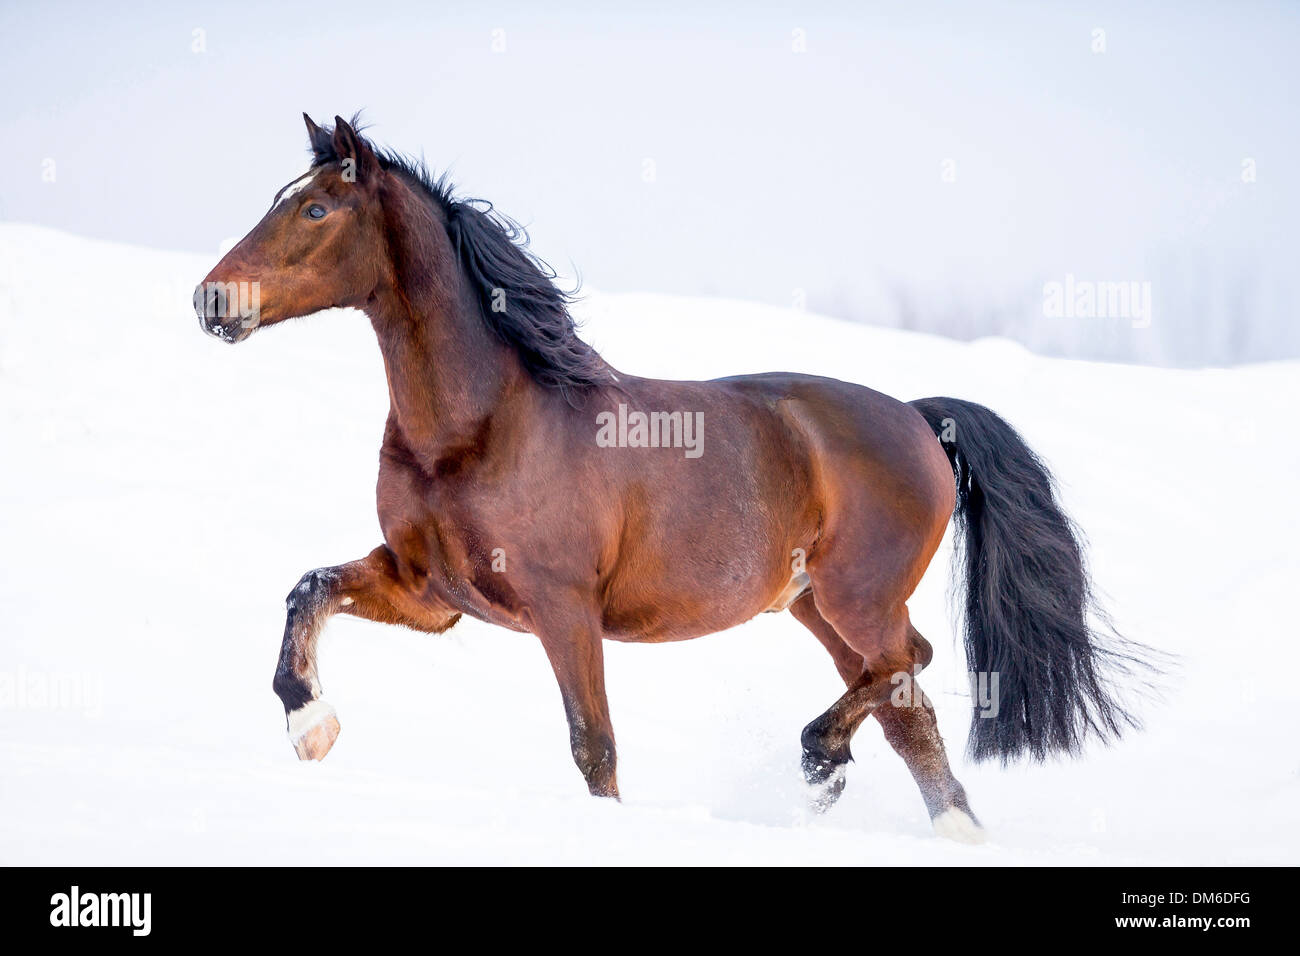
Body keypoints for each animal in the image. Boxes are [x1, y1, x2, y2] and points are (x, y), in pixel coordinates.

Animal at [195, 113, 1149, 842]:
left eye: (315, 207)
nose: (212, 302)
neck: (480, 428)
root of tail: (920, 417)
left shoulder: (563, 607)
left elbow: (595, 746)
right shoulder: (430, 593)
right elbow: (308, 589)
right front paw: (311, 728)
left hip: (856, 595)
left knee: (907, 664)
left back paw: (820, 759)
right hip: (814, 605)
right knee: (906, 706)